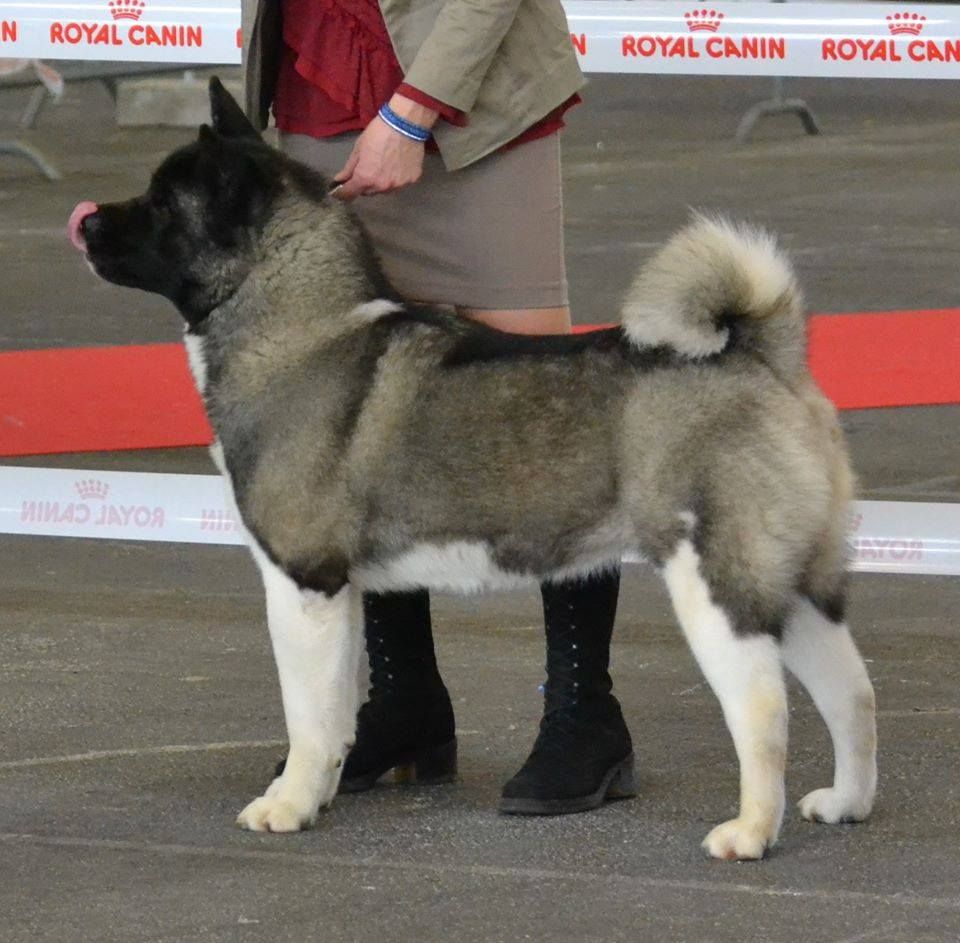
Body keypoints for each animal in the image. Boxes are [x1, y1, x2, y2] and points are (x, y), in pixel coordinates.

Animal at [69, 79, 876, 864]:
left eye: (163, 204)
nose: (85, 220)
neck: (300, 327)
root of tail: (763, 353)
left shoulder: (303, 584)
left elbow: (306, 714)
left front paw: (288, 805)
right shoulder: (343, 591)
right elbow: (334, 712)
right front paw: (323, 786)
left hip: (718, 583)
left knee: (765, 712)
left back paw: (750, 832)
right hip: (797, 581)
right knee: (852, 691)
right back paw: (847, 803)